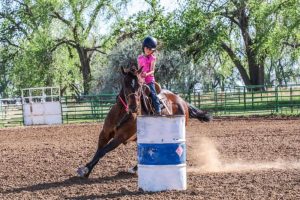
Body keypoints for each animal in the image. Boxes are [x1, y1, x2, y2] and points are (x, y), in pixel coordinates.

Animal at [78, 66, 212, 177]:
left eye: (139, 85)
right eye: (125, 83)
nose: (133, 107)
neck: (122, 114)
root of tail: (182, 101)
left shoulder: (120, 137)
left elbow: (102, 151)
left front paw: (84, 169)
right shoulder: (104, 134)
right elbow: (98, 151)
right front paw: (86, 170)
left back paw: (136, 169)